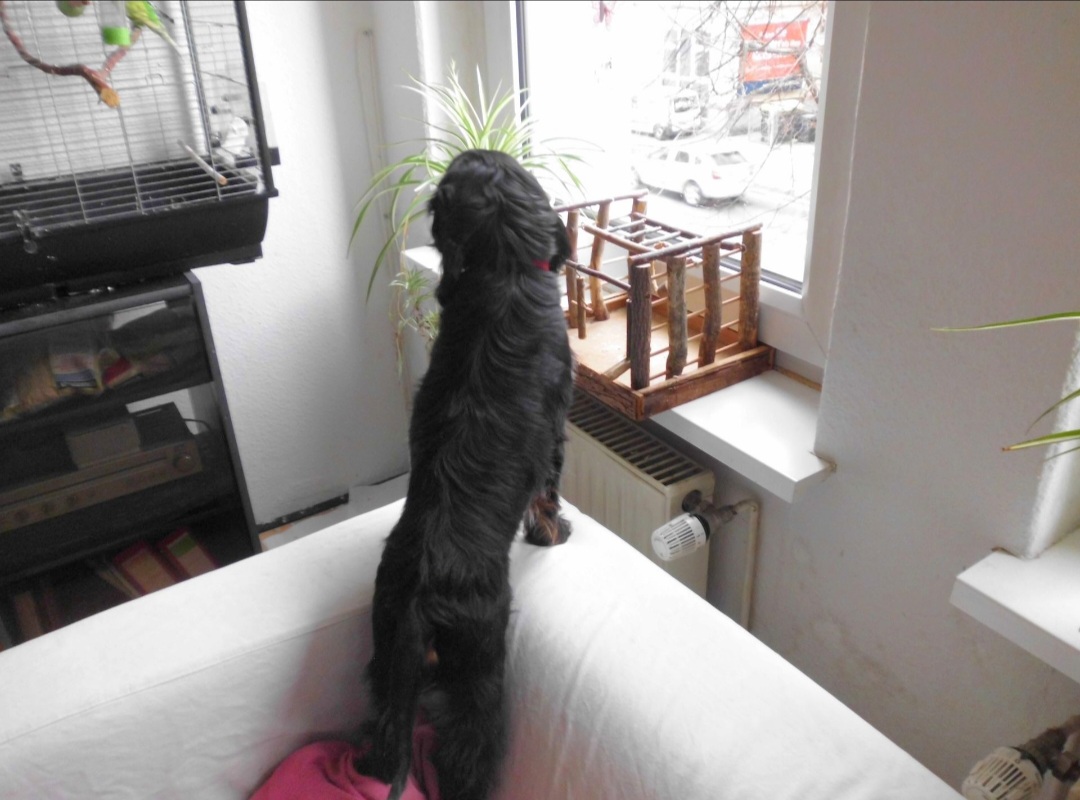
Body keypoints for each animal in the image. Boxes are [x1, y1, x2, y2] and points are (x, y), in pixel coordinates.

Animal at [361, 149, 575, 800]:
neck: (504, 270)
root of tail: (422, 592)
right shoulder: (557, 425)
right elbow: (548, 493)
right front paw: (554, 535)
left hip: (385, 657)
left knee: (385, 738)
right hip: (480, 664)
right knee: (466, 749)